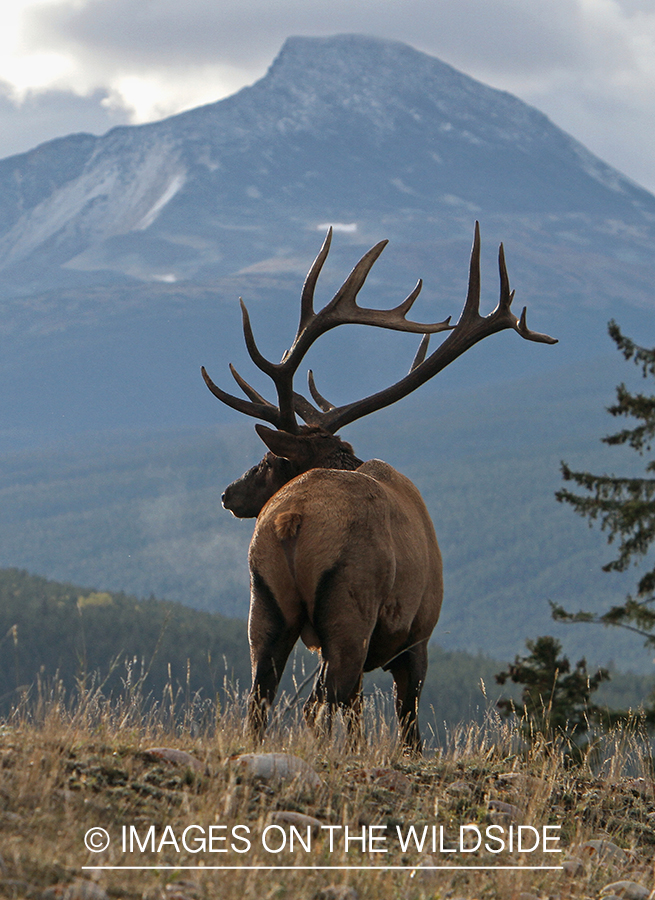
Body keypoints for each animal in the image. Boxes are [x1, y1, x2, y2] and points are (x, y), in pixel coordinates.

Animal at [202, 221, 556, 748]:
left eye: (270, 459)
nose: (228, 494)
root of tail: (291, 520)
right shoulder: (417, 635)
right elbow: (408, 724)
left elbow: (356, 712)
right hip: (351, 611)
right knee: (324, 699)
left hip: (264, 605)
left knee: (263, 699)